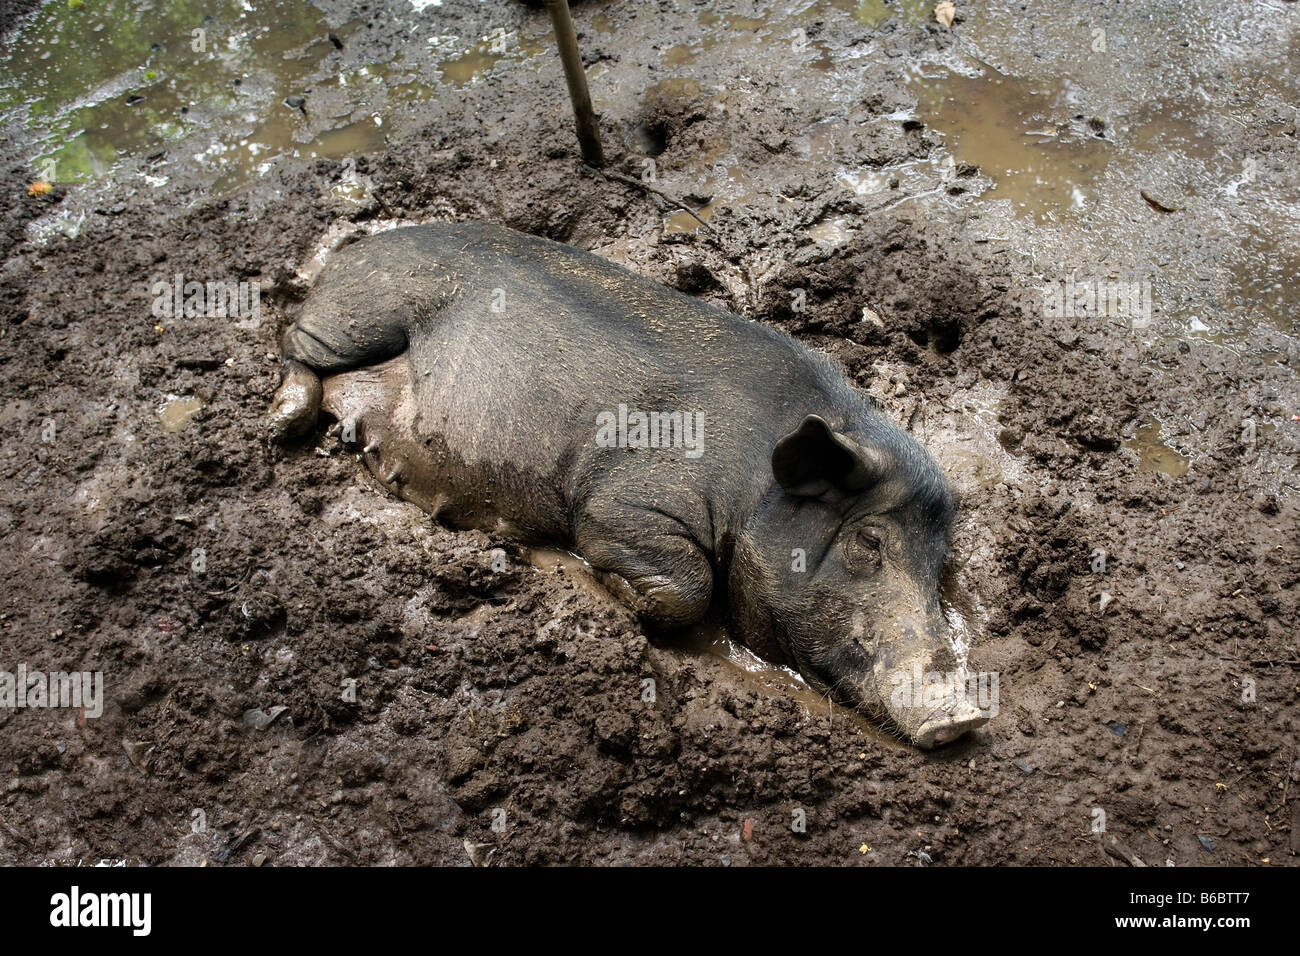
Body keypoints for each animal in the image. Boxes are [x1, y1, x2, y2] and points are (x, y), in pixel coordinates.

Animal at [269, 222, 987, 749]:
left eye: (939, 563)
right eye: (869, 543)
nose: (964, 718)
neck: (753, 482)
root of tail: (352, 249)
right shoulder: (626, 500)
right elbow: (683, 585)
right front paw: (613, 592)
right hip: (362, 313)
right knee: (294, 344)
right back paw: (280, 425)